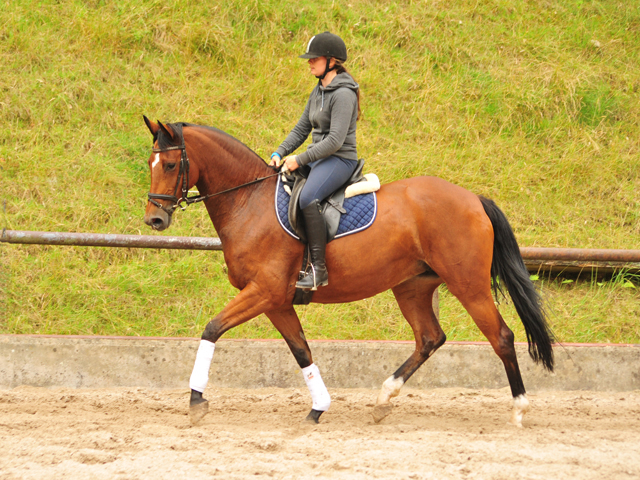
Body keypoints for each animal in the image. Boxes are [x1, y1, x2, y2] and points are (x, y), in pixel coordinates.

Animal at [142, 116, 552, 428]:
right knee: (429, 338)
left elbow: (212, 328)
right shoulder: (277, 301)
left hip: (468, 285)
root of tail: (474, 199)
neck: (249, 201)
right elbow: (301, 350)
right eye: (150, 163)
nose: (155, 219)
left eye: (171, 165)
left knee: (502, 337)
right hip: (412, 287)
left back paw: (519, 410)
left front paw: (196, 400)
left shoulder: (264, 291)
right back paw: (384, 399)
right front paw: (318, 407)